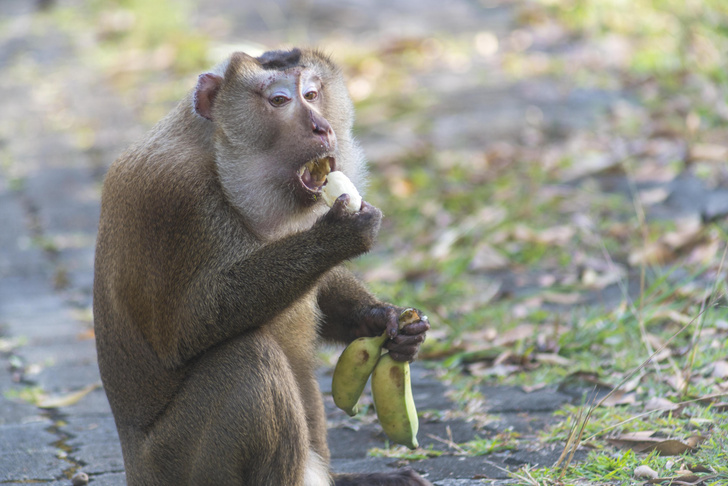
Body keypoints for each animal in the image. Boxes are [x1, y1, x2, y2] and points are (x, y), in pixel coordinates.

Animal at [91, 46, 432, 486]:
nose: (322, 127)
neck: (214, 153)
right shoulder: (177, 201)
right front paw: (338, 237)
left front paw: (386, 321)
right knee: (247, 360)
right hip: (175, 465)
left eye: (312, 93)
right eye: (279, 100)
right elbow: (189, 327)